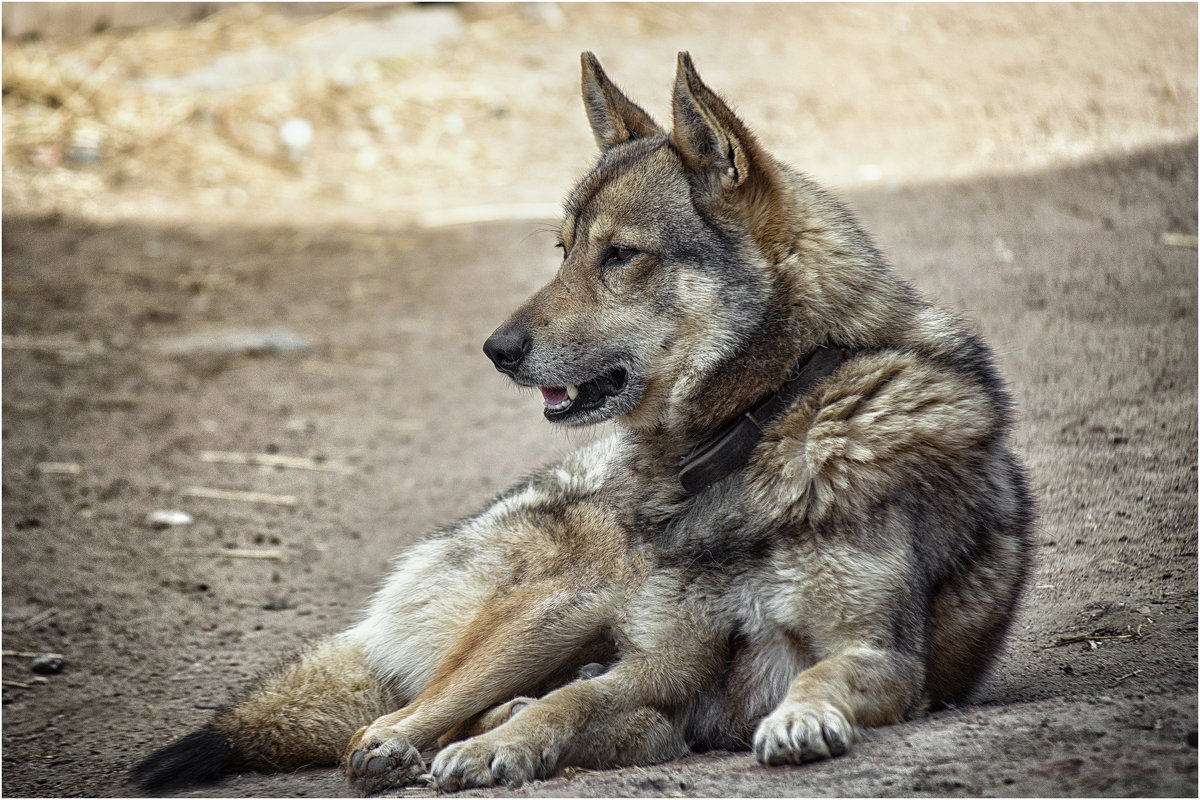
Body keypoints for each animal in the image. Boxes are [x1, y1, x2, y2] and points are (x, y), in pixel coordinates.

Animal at [129, 53, 1032, 796]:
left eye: (620, 255)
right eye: (562, 251)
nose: (496, 350)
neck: (765, 420)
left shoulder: (883, 657)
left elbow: (820, 678)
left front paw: (801, 720)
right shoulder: (656, 664)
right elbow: (563, 706)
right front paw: (500, 746)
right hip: (562, 607)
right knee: (404, 714)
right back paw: (423, 739)